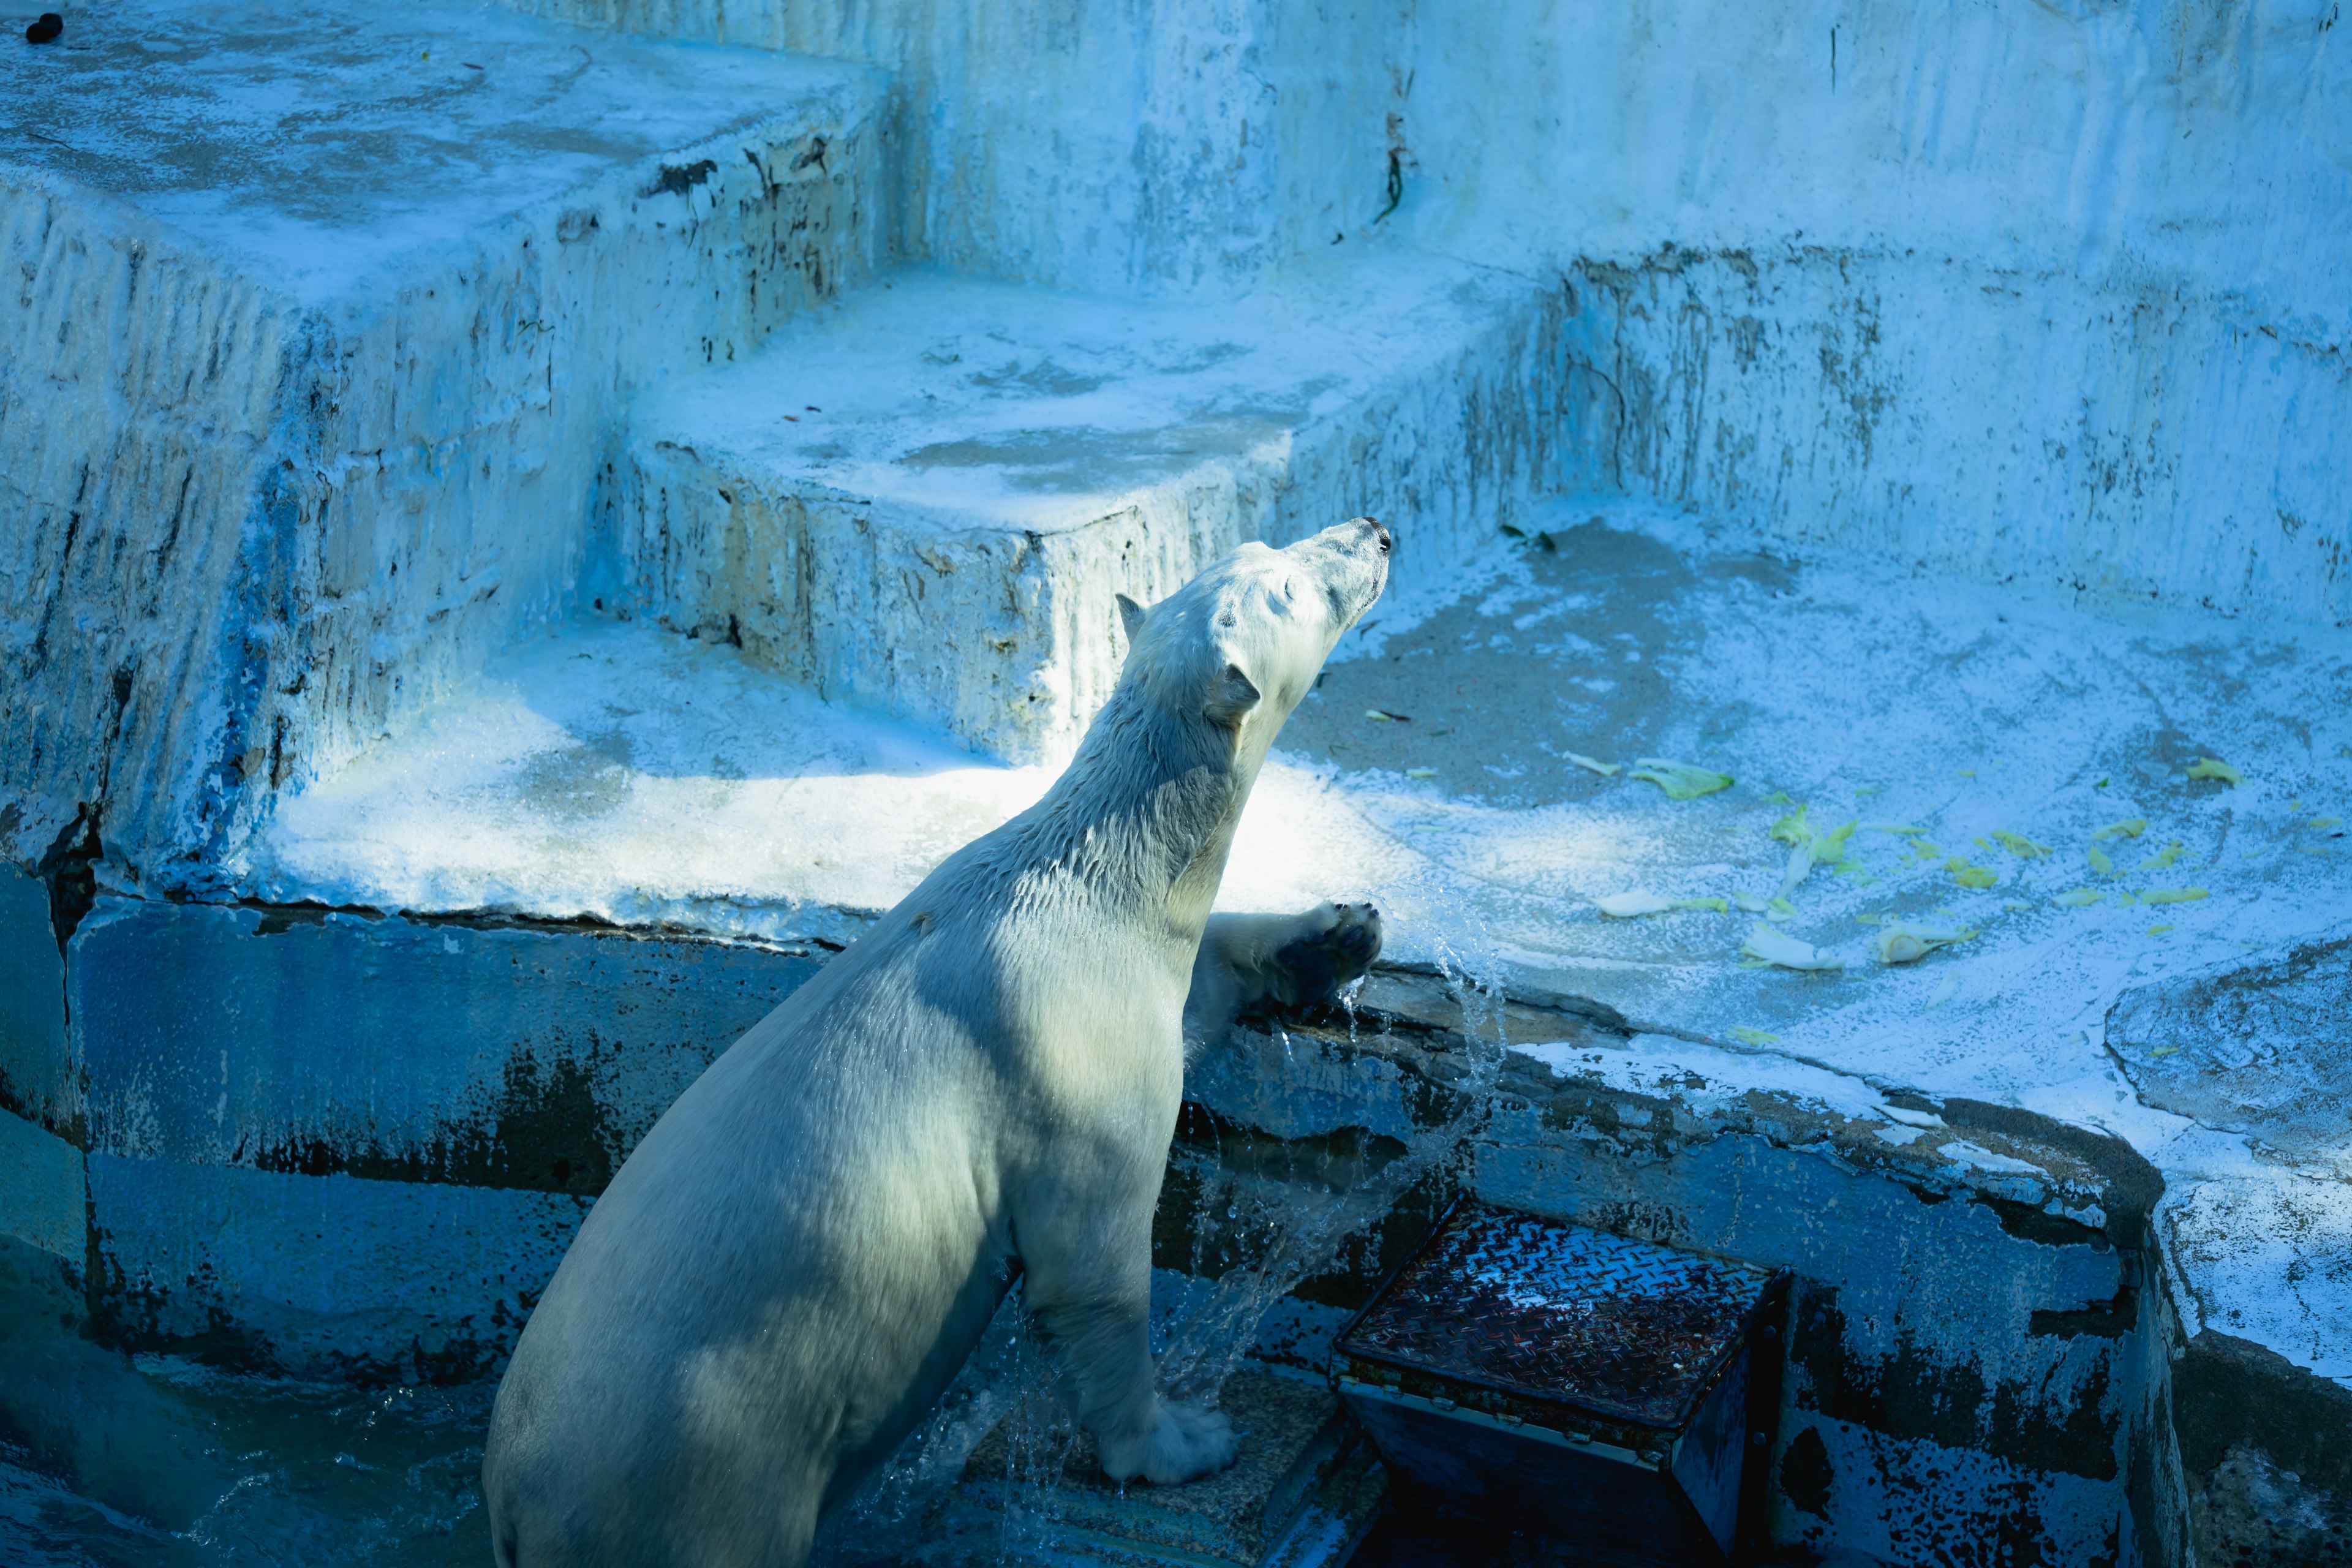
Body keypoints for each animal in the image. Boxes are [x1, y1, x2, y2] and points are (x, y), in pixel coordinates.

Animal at [484, 517, 1382, 1568]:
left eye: (1264, 548)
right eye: (1292, 586)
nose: (1373, 532)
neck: (1088, 876)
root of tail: (512, 1501)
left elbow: (1195, 988)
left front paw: (1335, 934)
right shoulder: (1065, 1061)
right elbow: (1094, 1270)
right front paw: (1185, 1441)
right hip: (697, 1472)